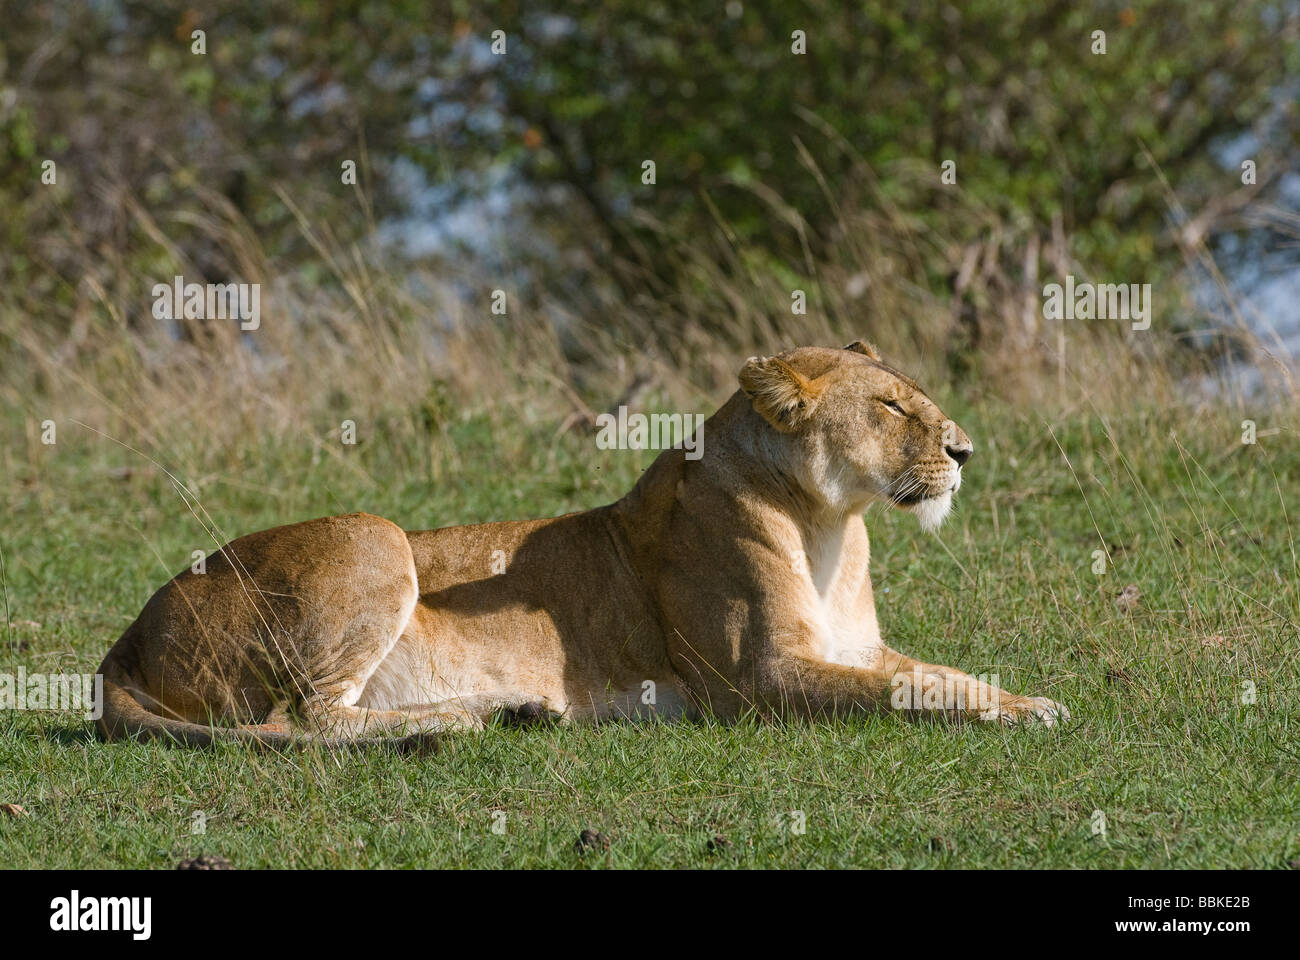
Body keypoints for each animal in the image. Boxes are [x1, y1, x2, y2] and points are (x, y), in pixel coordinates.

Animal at [96, 341, 1068, 748]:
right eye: (893, 406)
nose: (965, 452)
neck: (830, 524)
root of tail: (123, 642)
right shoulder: (756, 680)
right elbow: (904, 693)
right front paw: (1021, 716)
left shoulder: (856, 647)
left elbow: (938, 674)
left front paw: (1028, 702)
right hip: (374, 537)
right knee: (302, 719)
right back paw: (473, 719)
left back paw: (515, 710)